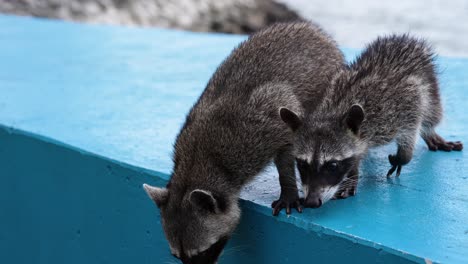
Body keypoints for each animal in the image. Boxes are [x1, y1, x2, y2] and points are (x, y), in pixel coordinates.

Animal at [142, 22, 344, 264]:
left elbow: (286, 143)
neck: (197, 164)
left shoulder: (265, 121)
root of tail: (310, 28)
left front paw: (288, 188)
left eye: (203, 252)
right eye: (178, 256)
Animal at [280, 33, 462, 208]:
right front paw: (353, 172)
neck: (335, 111)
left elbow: (413, 123)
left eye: (332, 165)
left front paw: (404, 155)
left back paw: (430, 132)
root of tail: (403, 38)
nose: (311, 202)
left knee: (431, 113)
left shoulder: (402, 104)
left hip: (430, 86)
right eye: (302, 164)